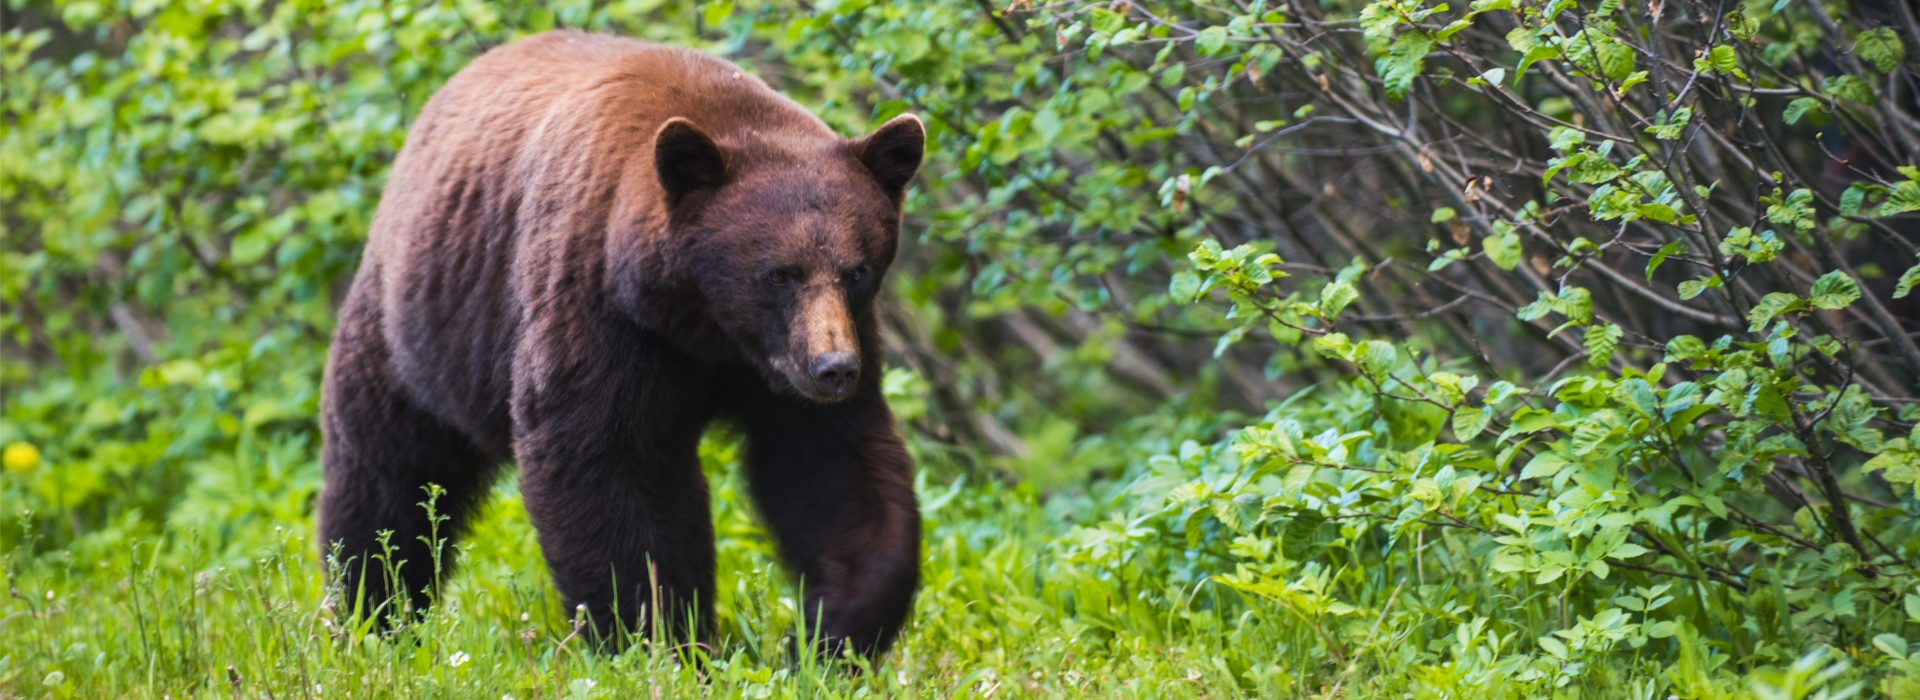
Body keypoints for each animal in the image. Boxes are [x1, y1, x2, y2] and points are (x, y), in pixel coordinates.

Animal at [316, 30, 925, 656]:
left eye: (856, 271)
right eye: (778, 274)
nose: (834, 368)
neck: (704, 326)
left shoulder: (796, 365)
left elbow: (832, 465)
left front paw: (830, 635)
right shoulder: (598, 307)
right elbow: (604, 462)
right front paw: (658, 635)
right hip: (420, 326)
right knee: (387, 472)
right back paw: (377, 609)